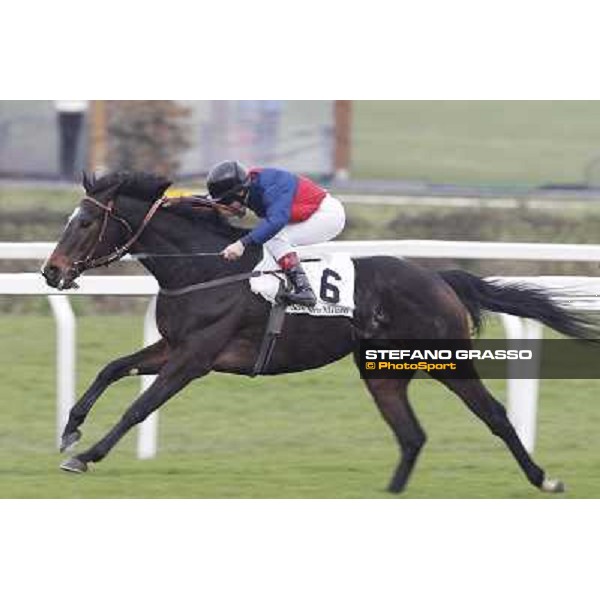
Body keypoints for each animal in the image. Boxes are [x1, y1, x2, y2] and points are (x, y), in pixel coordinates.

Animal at [41, 171, 596, 494]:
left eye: (85, 222)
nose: (51, 272)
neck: (202, 269)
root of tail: (440, 278)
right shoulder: (172, 346)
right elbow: (112, 368)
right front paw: (70, 430)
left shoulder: (194, 358)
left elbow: (139, 406)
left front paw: (85, 457)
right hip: (383, 372)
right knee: (411, 434)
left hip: (446, 359)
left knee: (494, 415)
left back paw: (544, 478)